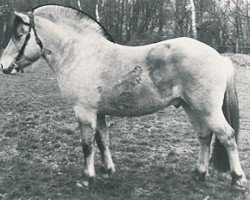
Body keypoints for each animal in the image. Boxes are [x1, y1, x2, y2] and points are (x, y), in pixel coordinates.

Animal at [0, 4, 246, 191]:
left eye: (19, 34)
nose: (4, 65)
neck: (81, 55)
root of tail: (219, 56)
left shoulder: (84, 111)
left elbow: (87, 145)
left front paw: (87, 179)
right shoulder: (98, 113)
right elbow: (102, 141)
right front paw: (108, 171)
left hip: (207, 109)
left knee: (227, 136)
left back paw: (237, 180)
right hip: (191, 107)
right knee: (205, 136)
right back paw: (198, 174)